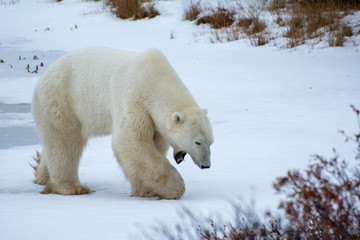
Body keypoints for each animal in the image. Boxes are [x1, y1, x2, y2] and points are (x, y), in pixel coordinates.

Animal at [31, 46, 214, 199]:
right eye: (197, 142)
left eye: (211, 142)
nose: (206, 165)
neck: (155, 77)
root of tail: (43, 77)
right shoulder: (133, 97)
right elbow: (131, 141)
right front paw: (174, 187)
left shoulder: (152, 115)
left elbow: (154, 143)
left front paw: (146, 189)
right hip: (62, 99)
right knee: (65, 142)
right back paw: (74, 187)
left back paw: (42, 175)